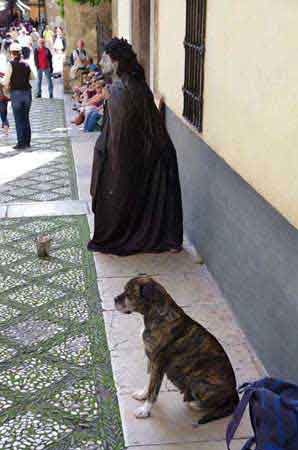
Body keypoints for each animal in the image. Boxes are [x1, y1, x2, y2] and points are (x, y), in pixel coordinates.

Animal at [114, 274, 240, 426]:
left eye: (129, 294)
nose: (114, 299)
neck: (158, 314)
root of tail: (234, 393)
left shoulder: (158, 363)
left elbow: (153, 390)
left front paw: (145, 410)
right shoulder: (151, 360)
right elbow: (149, 382)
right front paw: (142, 395)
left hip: (198, 383)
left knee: (215, 405)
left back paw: (195, 404)